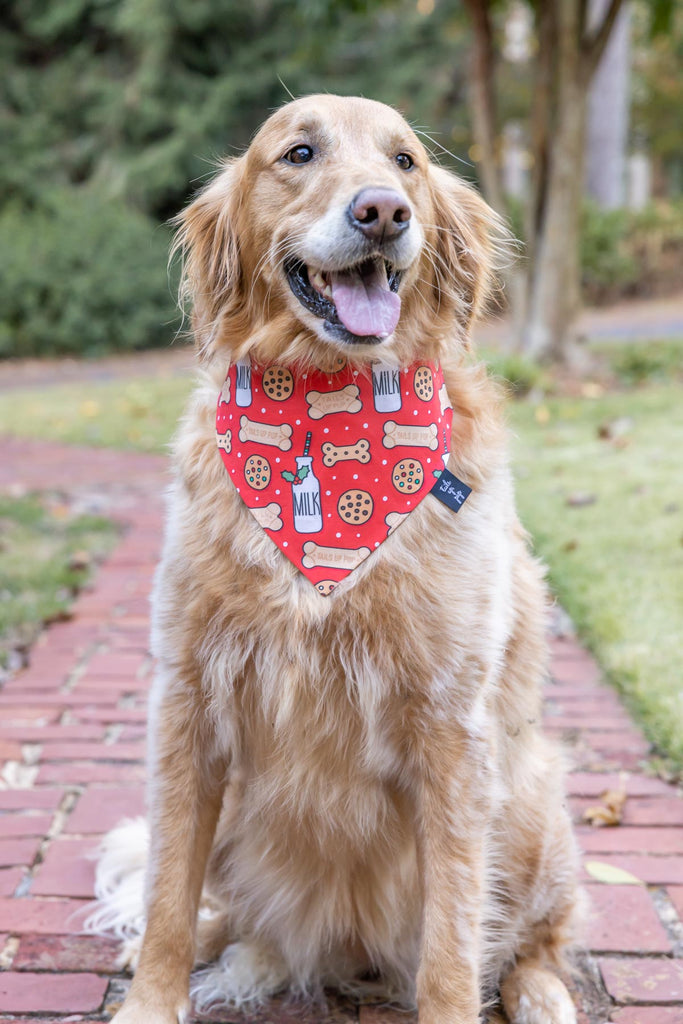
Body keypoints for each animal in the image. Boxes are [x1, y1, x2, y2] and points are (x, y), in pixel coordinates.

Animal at [94, 92, 581, 1019]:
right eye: (298, 153)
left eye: (404, 163)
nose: (381, 213)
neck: (326, 400)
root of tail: (334, 950)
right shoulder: (187, 697)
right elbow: (169, 889)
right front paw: (150, 998)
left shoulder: (450, 726)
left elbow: (452, 937)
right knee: (220, 911)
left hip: (532, 797)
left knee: (532, 940)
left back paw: (542, 994)